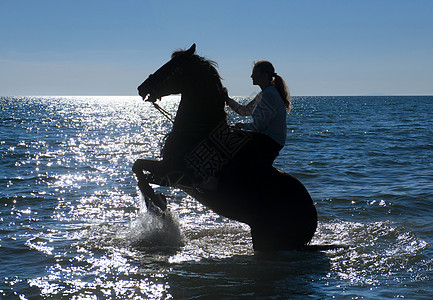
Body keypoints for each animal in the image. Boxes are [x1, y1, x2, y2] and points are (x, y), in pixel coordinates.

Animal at [132, 44, 318, 251]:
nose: (142, 88)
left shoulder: (173, 172)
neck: (197, 132)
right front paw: (158, 202)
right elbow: (139, 172)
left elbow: (139, 168)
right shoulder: (169, 175)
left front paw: (159, 204)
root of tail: (312, 214)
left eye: (173, 67)